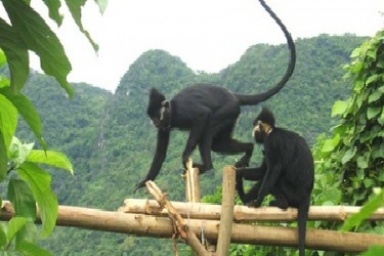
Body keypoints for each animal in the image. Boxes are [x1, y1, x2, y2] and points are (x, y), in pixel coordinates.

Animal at [135, 0, 296, 191]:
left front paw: (185, 155)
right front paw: (144, 182)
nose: (154, 122)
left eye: (155, 115)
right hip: (232, 116)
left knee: (208, 131)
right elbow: (160, 154)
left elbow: (202, 115)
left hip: (227, 110)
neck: (172, 112)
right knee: (219, 143)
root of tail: (233, 95)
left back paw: (206, 166)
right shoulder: (165, 125)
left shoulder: (182, 112)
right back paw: (248, 149)